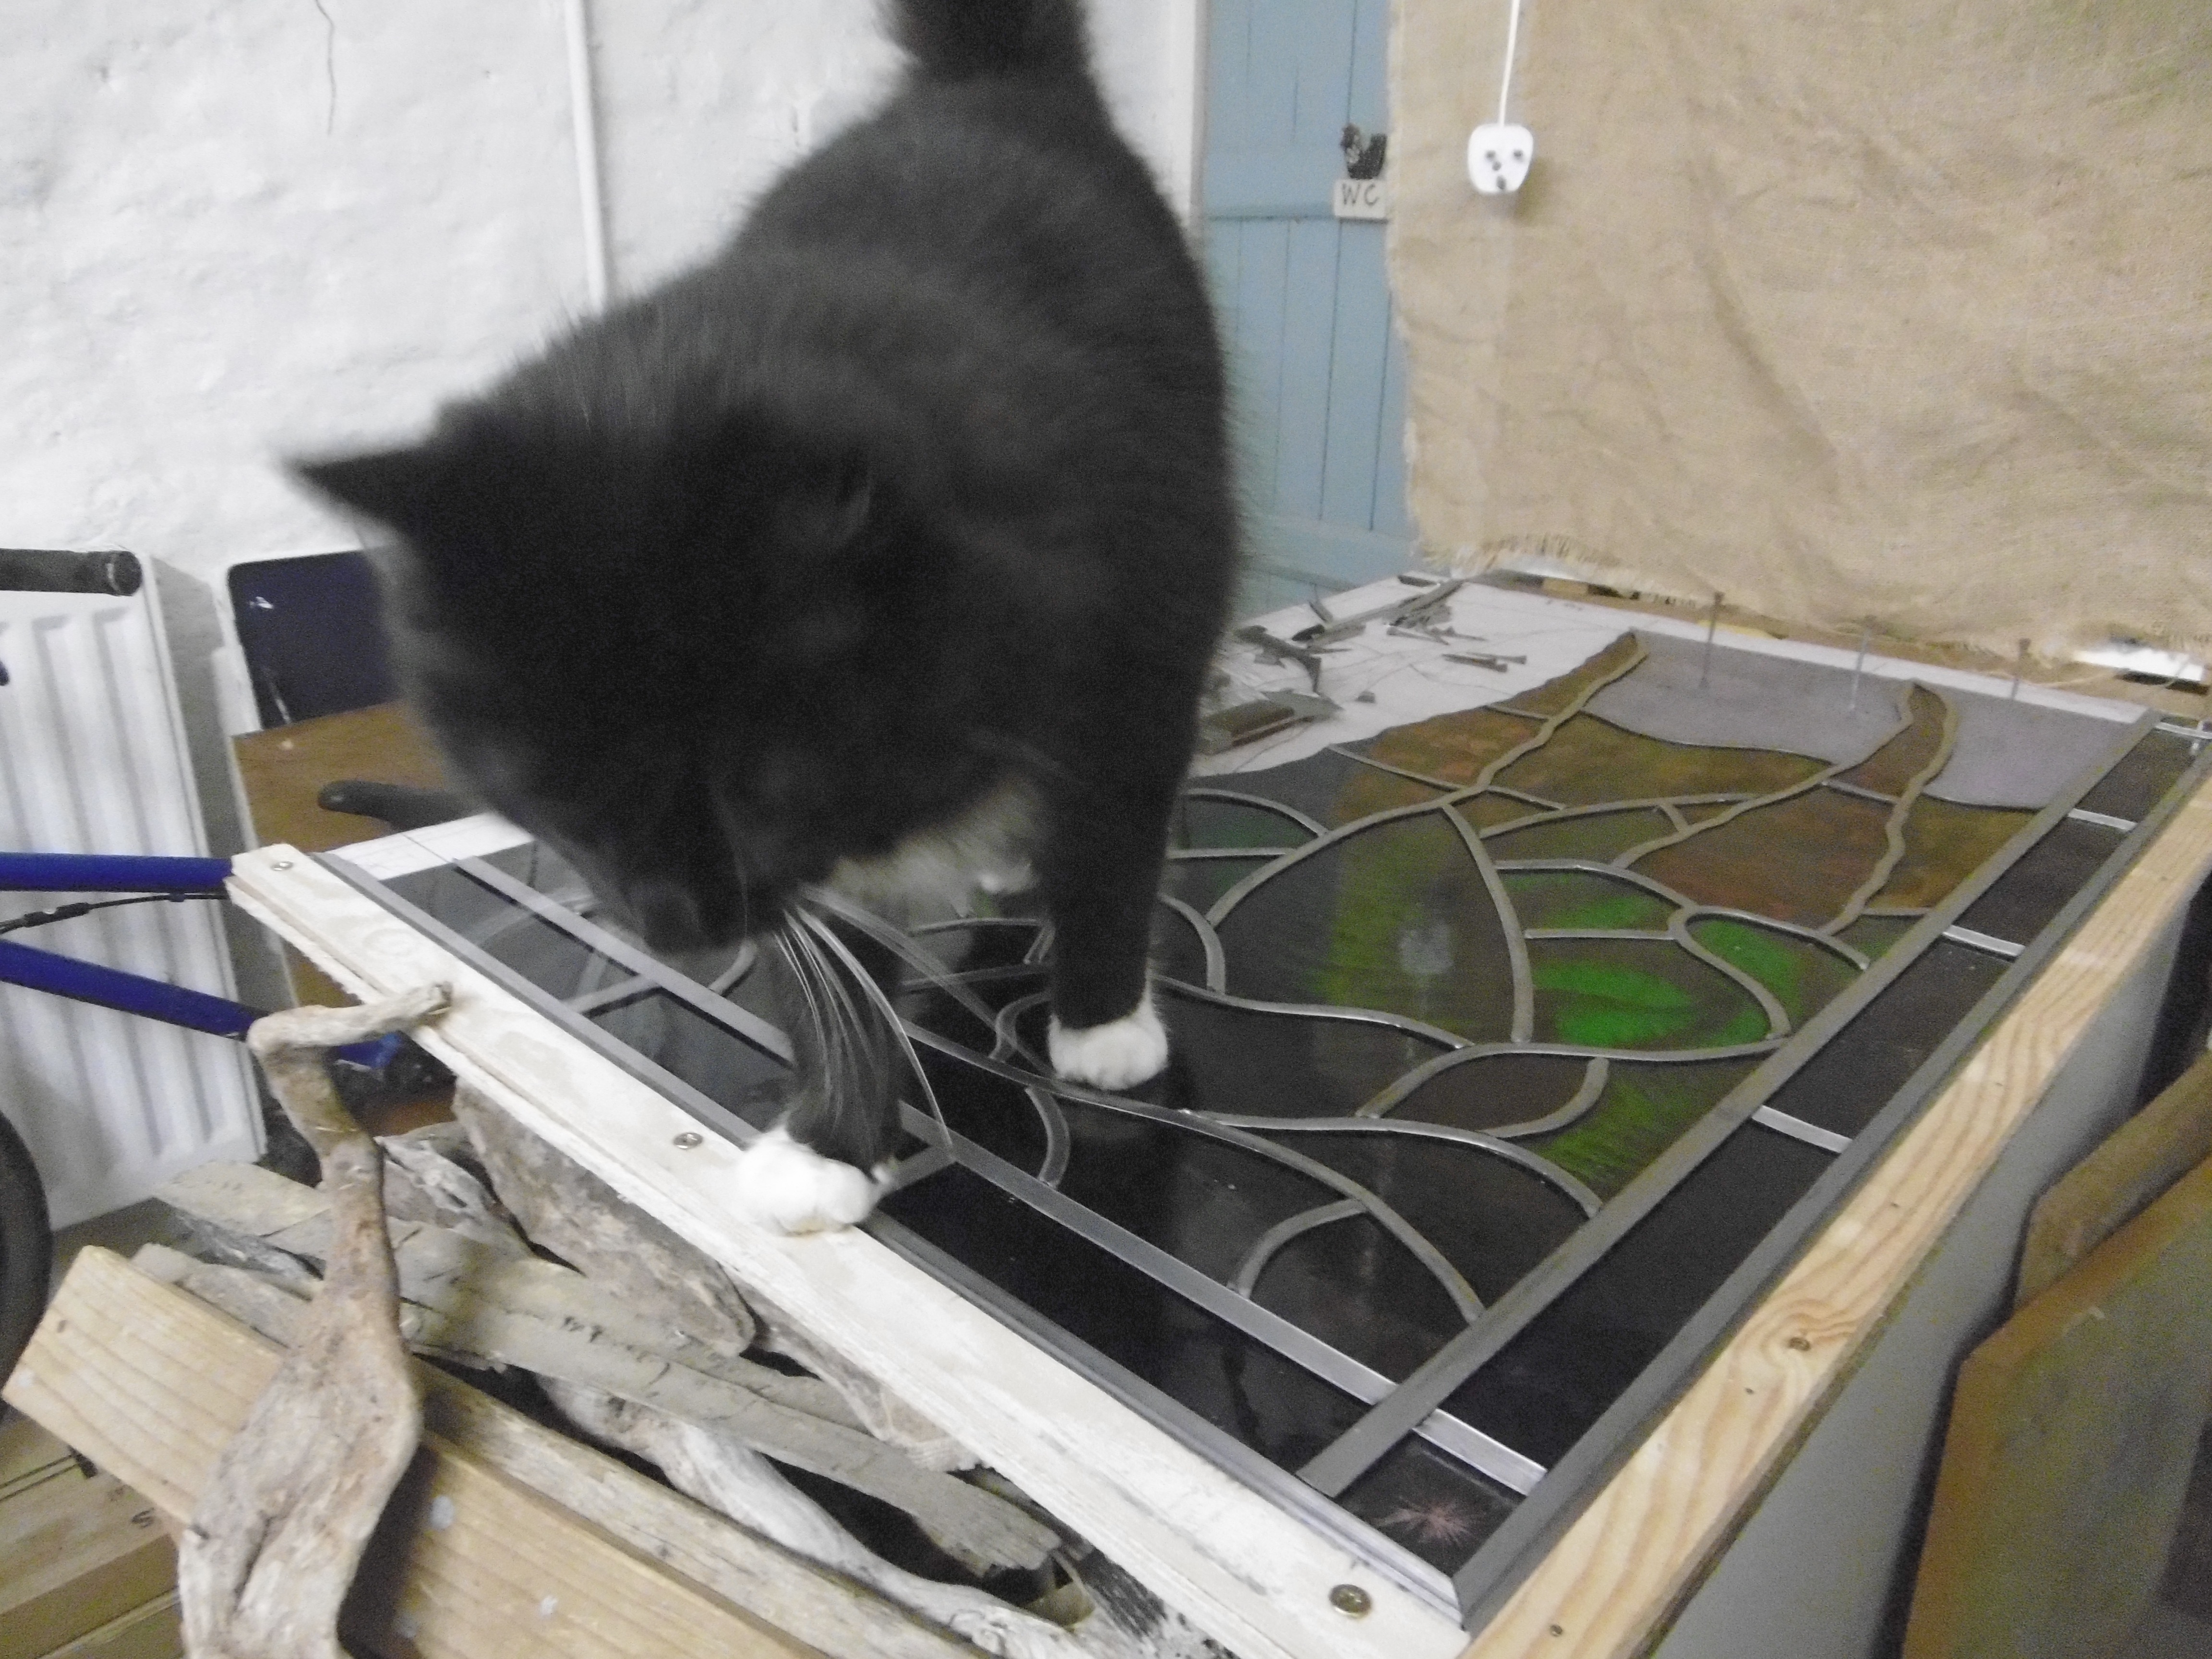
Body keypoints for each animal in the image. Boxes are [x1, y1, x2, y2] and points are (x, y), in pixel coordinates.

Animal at [294, 0, 1238, 1232]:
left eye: (759, 790)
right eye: (550, 792)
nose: (672, 930)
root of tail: (985, 85)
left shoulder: (1134, 648)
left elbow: (1115, 844)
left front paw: (1104, 1024)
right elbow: (822, 945)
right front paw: (833, 1137)